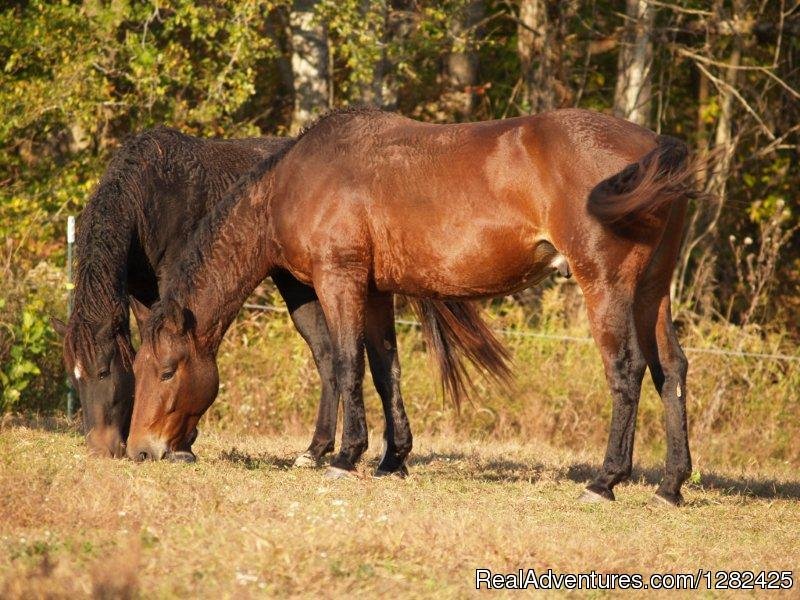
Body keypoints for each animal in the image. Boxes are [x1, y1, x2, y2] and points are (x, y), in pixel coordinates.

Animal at [130, 108, 692, 506]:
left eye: (167, 370)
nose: (139, 450)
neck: (296, 181)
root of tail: (653, 146)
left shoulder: (341, 280)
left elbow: (347, 364)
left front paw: (345, 456)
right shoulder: (378, 291)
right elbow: (386, 370)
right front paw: (392, 459)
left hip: (606, 284)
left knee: (627, 370)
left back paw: (605, 481)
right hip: (652, 290)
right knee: (671, 370)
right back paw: (671, 486)